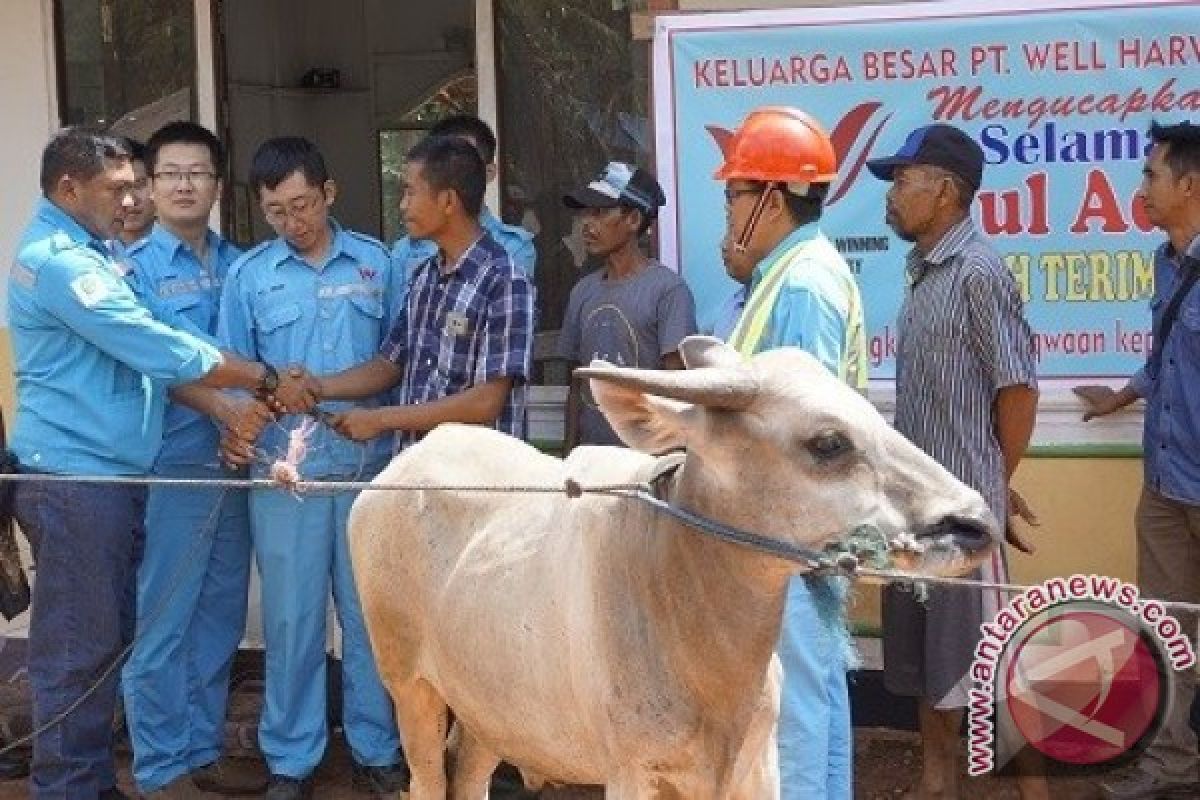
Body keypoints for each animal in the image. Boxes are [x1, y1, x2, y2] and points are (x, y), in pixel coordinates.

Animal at [350, 335, 1003, 800]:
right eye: (828, 443)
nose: (974, 522)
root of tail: (404, 466)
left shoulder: (755, 771)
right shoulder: (634, 775)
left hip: (491, 712)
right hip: (411, 690)